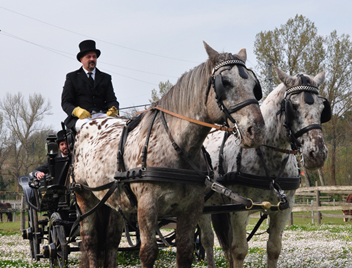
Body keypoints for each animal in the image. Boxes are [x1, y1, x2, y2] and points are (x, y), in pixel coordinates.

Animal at [71, 42, 264, 268]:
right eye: (224, 82)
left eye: (254, 84)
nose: (257, 130)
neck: (176, 147)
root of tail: (90, 122)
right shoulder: (147, 208)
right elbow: (148, 253)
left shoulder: (190, 209)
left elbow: (185, 253)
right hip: (85, 197)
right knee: (91, 243)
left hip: (112, 203)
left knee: (110, 242)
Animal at [199, 66, 332, 268]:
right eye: (293, 107)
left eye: (322, 108)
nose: (317, 154)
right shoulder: (240, 209)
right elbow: (239, 250)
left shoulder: (283, 209)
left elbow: (274, 248)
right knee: (208, 240)